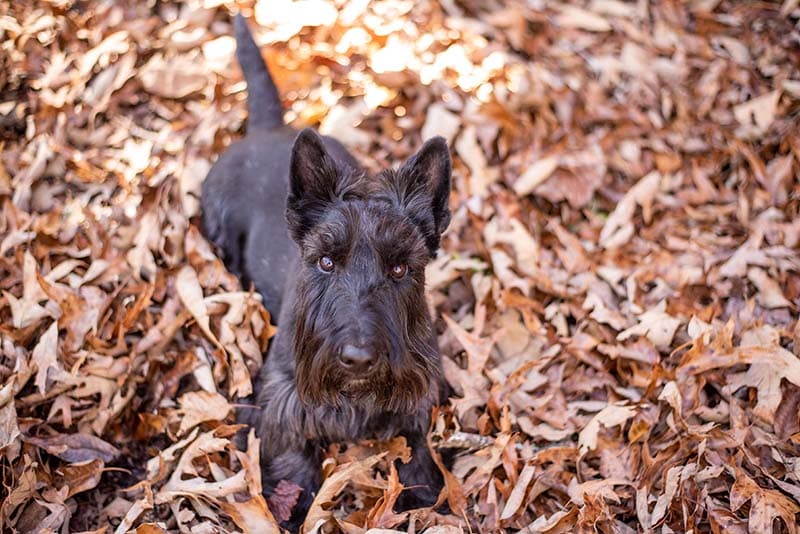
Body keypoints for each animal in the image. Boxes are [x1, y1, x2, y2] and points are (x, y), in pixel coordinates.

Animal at [200, 14, 450, 528]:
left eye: (401, 268)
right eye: (326, 261)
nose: (358, 359)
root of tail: (269, 129)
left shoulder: (418, 400)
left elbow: (417, 452)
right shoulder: (283, 404)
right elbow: (294, 462)